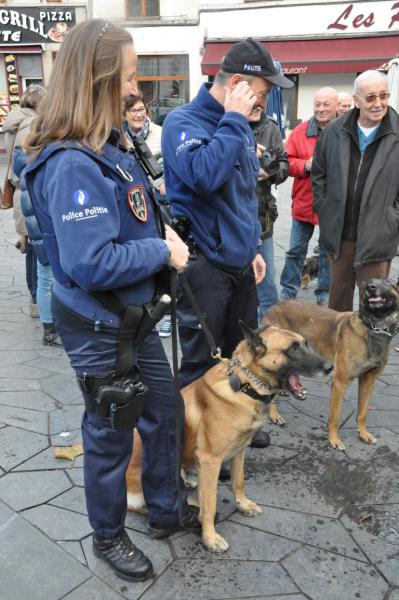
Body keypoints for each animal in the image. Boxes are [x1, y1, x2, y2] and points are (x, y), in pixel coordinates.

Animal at [126, 322, 330, 552]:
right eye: (293, 348)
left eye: (305, 343)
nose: (330, 367)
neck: (244, 385)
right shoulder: (210, 461)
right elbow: (210, 503)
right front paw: (209, 537)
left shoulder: (239, 451)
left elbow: (238, 481)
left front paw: (243, 504)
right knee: (145, 507)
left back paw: (188, 483)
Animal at [262, 278, 399, 450]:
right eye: (370, 282)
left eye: (388, 283)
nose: (370, 287)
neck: (374, 329)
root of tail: (274, 306)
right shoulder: (339, 383)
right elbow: (335, 417)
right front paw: (334, 439)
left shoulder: (368, 381)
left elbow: (362, 413)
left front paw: (363, 433)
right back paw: (274, 414)